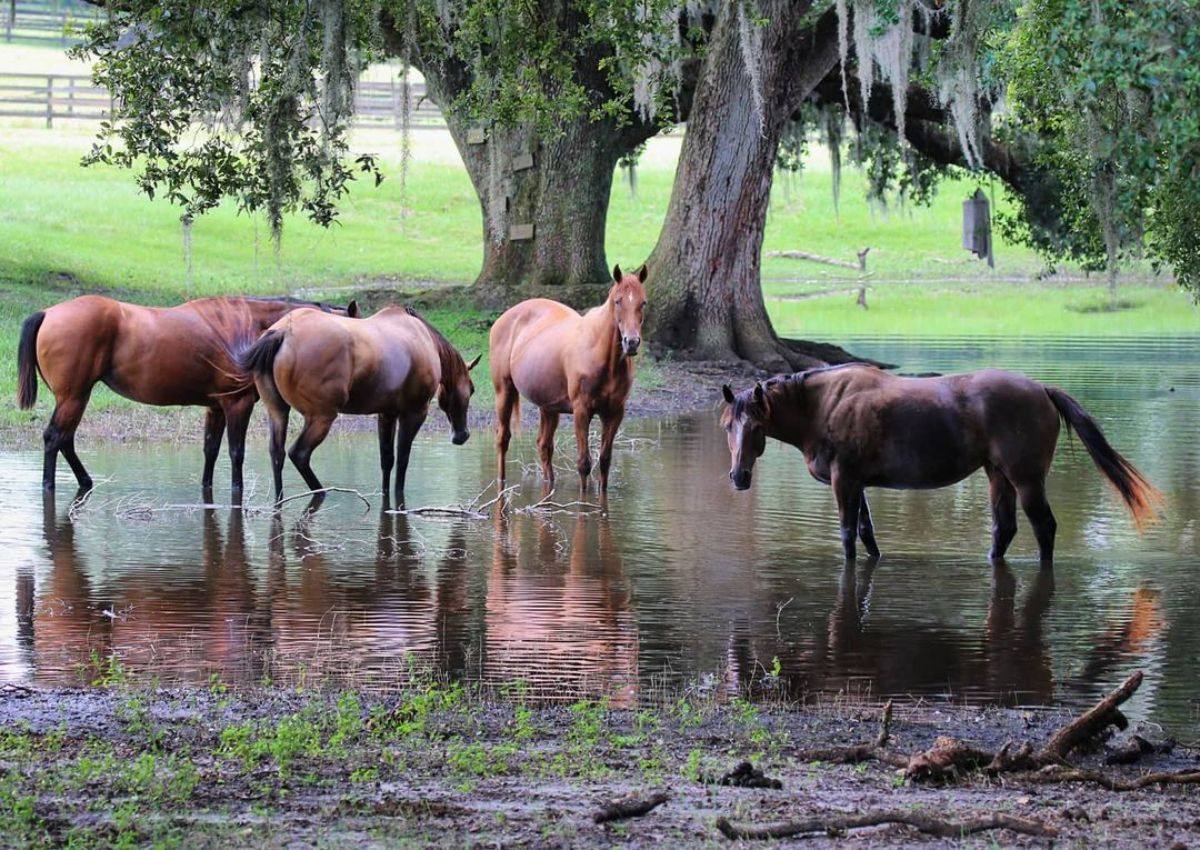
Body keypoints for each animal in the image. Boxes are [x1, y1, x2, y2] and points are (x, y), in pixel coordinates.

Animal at [17, 295, 355, 497]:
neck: (250, 327)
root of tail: (48, 313)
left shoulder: (215, 407)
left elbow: (210, 450)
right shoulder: (237, 404)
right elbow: (236, 453)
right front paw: (237, 491)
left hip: (75, 397)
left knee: (65, 439)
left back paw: (85, 482)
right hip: (74, 396)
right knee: (54, 437)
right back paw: (50, 485)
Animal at [238, 304, 477, 504]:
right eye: (472, 389)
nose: (462, 435)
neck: (428, 342)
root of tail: (282, 333)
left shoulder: (387, 413)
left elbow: (387, 459)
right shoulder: (414, 412)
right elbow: (402, 460)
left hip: (277, 411)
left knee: (276, 454)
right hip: (321, 416)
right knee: (299, 454)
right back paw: (321, 492)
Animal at [487, 264, 648, 492]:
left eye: (643, 302)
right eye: (618, 301)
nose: (631, 342)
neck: (602, 356)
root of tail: (504, 318)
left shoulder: (615, 412)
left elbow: (605, 461)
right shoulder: (581, 410)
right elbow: (584, 464)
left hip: (548, 407)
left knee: (544, 446)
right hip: (504, 391)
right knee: (503, 439)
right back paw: (502, 485)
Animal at [720, 362, 1161, 564]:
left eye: (755, 427)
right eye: (727, 426)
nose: (738, 477)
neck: (826, 404)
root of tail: (1042, 389)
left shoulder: (844, 482)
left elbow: (847, 537)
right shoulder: (858, 483)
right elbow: (866, 534)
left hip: (1026, 479)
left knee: (1044, 528)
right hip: (997, 475)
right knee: (1004, 529)